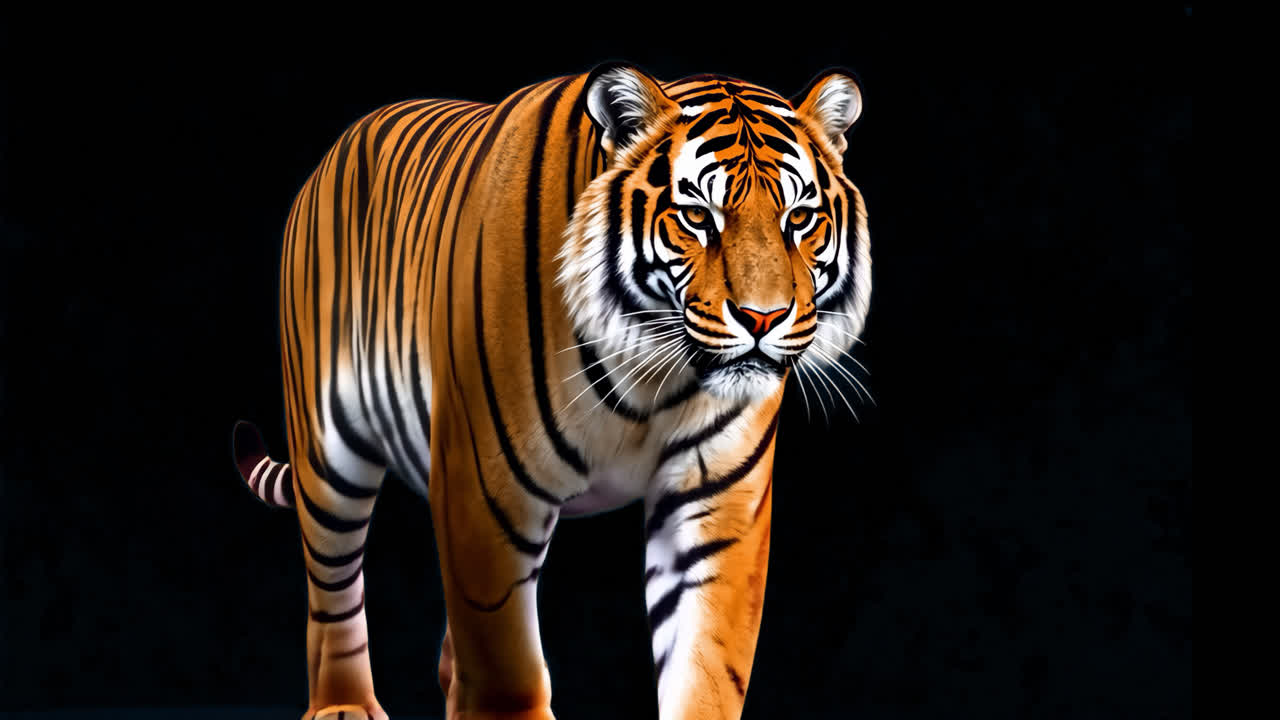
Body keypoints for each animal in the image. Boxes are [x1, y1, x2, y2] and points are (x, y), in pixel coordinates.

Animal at [231, 62, 870, 720]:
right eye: (697, 217)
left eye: (800, 219)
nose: (763, 318)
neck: (652, 375)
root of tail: (341, 143)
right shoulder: (484, 488)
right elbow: (505, 663)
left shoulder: (716, 503)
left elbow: (705, 667)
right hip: (330, 449)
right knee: (332, 581)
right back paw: (343, 703)